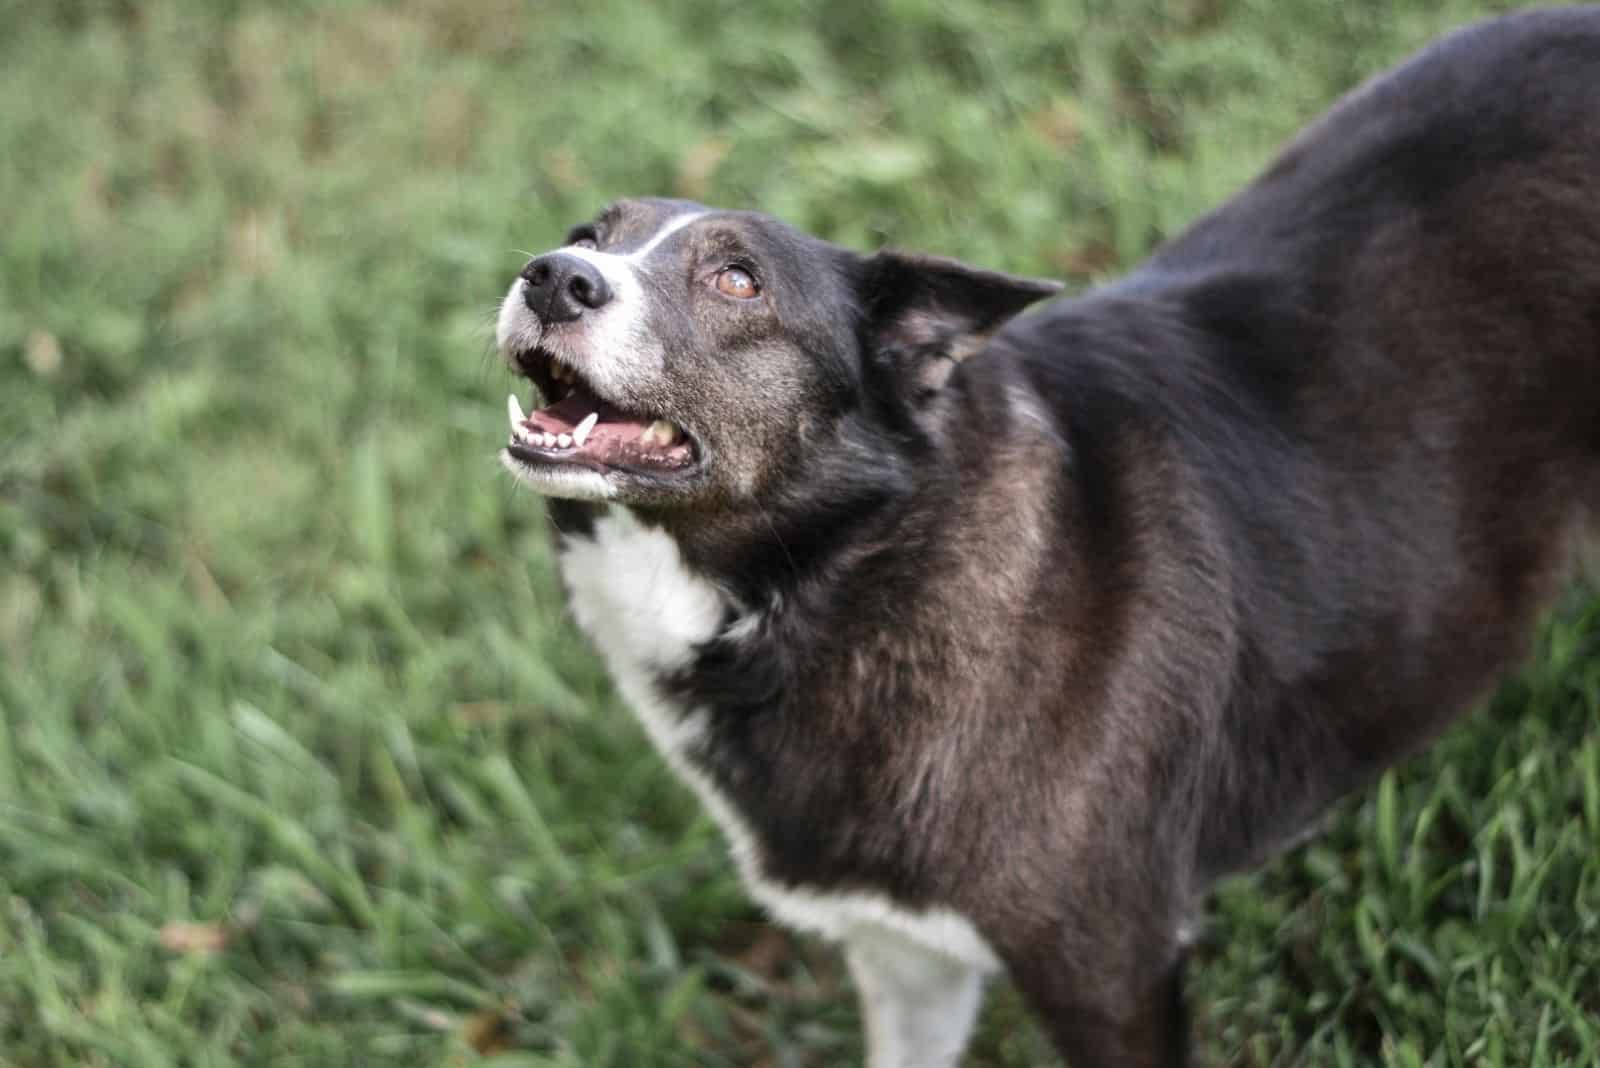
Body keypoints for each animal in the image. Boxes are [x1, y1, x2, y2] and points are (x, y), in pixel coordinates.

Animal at [492, 6, 1600, 1061]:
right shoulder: (908, 960)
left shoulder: (1109, 972)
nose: (554, 275)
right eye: (588, 230)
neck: (851, 571)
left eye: (737, 281)